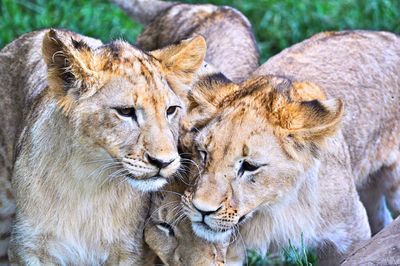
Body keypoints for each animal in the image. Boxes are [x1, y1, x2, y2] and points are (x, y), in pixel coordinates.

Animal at [0, 29, 206, 264]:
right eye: (125, 111)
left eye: (170, 110)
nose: (164, 162)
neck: (89, 182)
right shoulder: (27, 247)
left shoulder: (130, 250)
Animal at [182, 30, 400, 264]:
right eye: (204, 153)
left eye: (250, 166)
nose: (202, 210)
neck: (273, 207)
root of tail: (391, 36)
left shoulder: (350, 233)